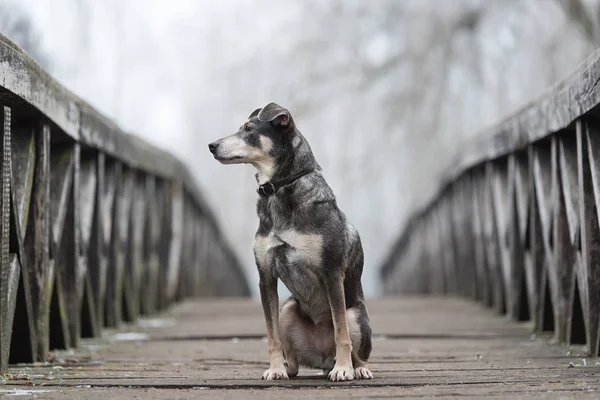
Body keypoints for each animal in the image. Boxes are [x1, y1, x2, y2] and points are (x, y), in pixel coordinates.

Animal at [209, 101, 372, 382]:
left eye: (249, 129)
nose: (212, 145)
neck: (279, 188)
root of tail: (322, 358)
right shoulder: (266, 277)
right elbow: (271, 335)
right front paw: (275, 369)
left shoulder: (332, 274)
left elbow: (341, 332)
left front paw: (343, 370)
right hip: (287, 309)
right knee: (294, 357)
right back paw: (289, 368)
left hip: (355, 314)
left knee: (354, 346)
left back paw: (354, 368)